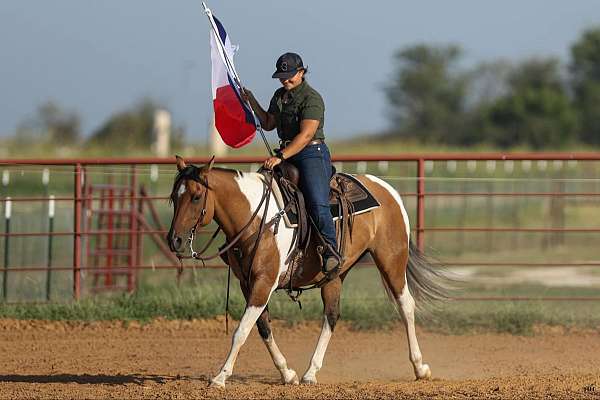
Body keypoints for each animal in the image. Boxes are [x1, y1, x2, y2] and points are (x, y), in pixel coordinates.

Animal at [166, 156, 448, 388]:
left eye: (195, 196)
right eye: (173, 197)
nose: (175, 241)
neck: (257, 219)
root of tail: (389, 190)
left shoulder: (264, 283)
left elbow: (241, 331)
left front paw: (220, 377)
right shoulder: (248, 284)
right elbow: (263, 328)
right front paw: (287, 373)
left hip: (392, 261)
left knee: (406, 306)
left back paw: (420, 368)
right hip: (335, 274)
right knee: (331, 315)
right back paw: (310, 372)